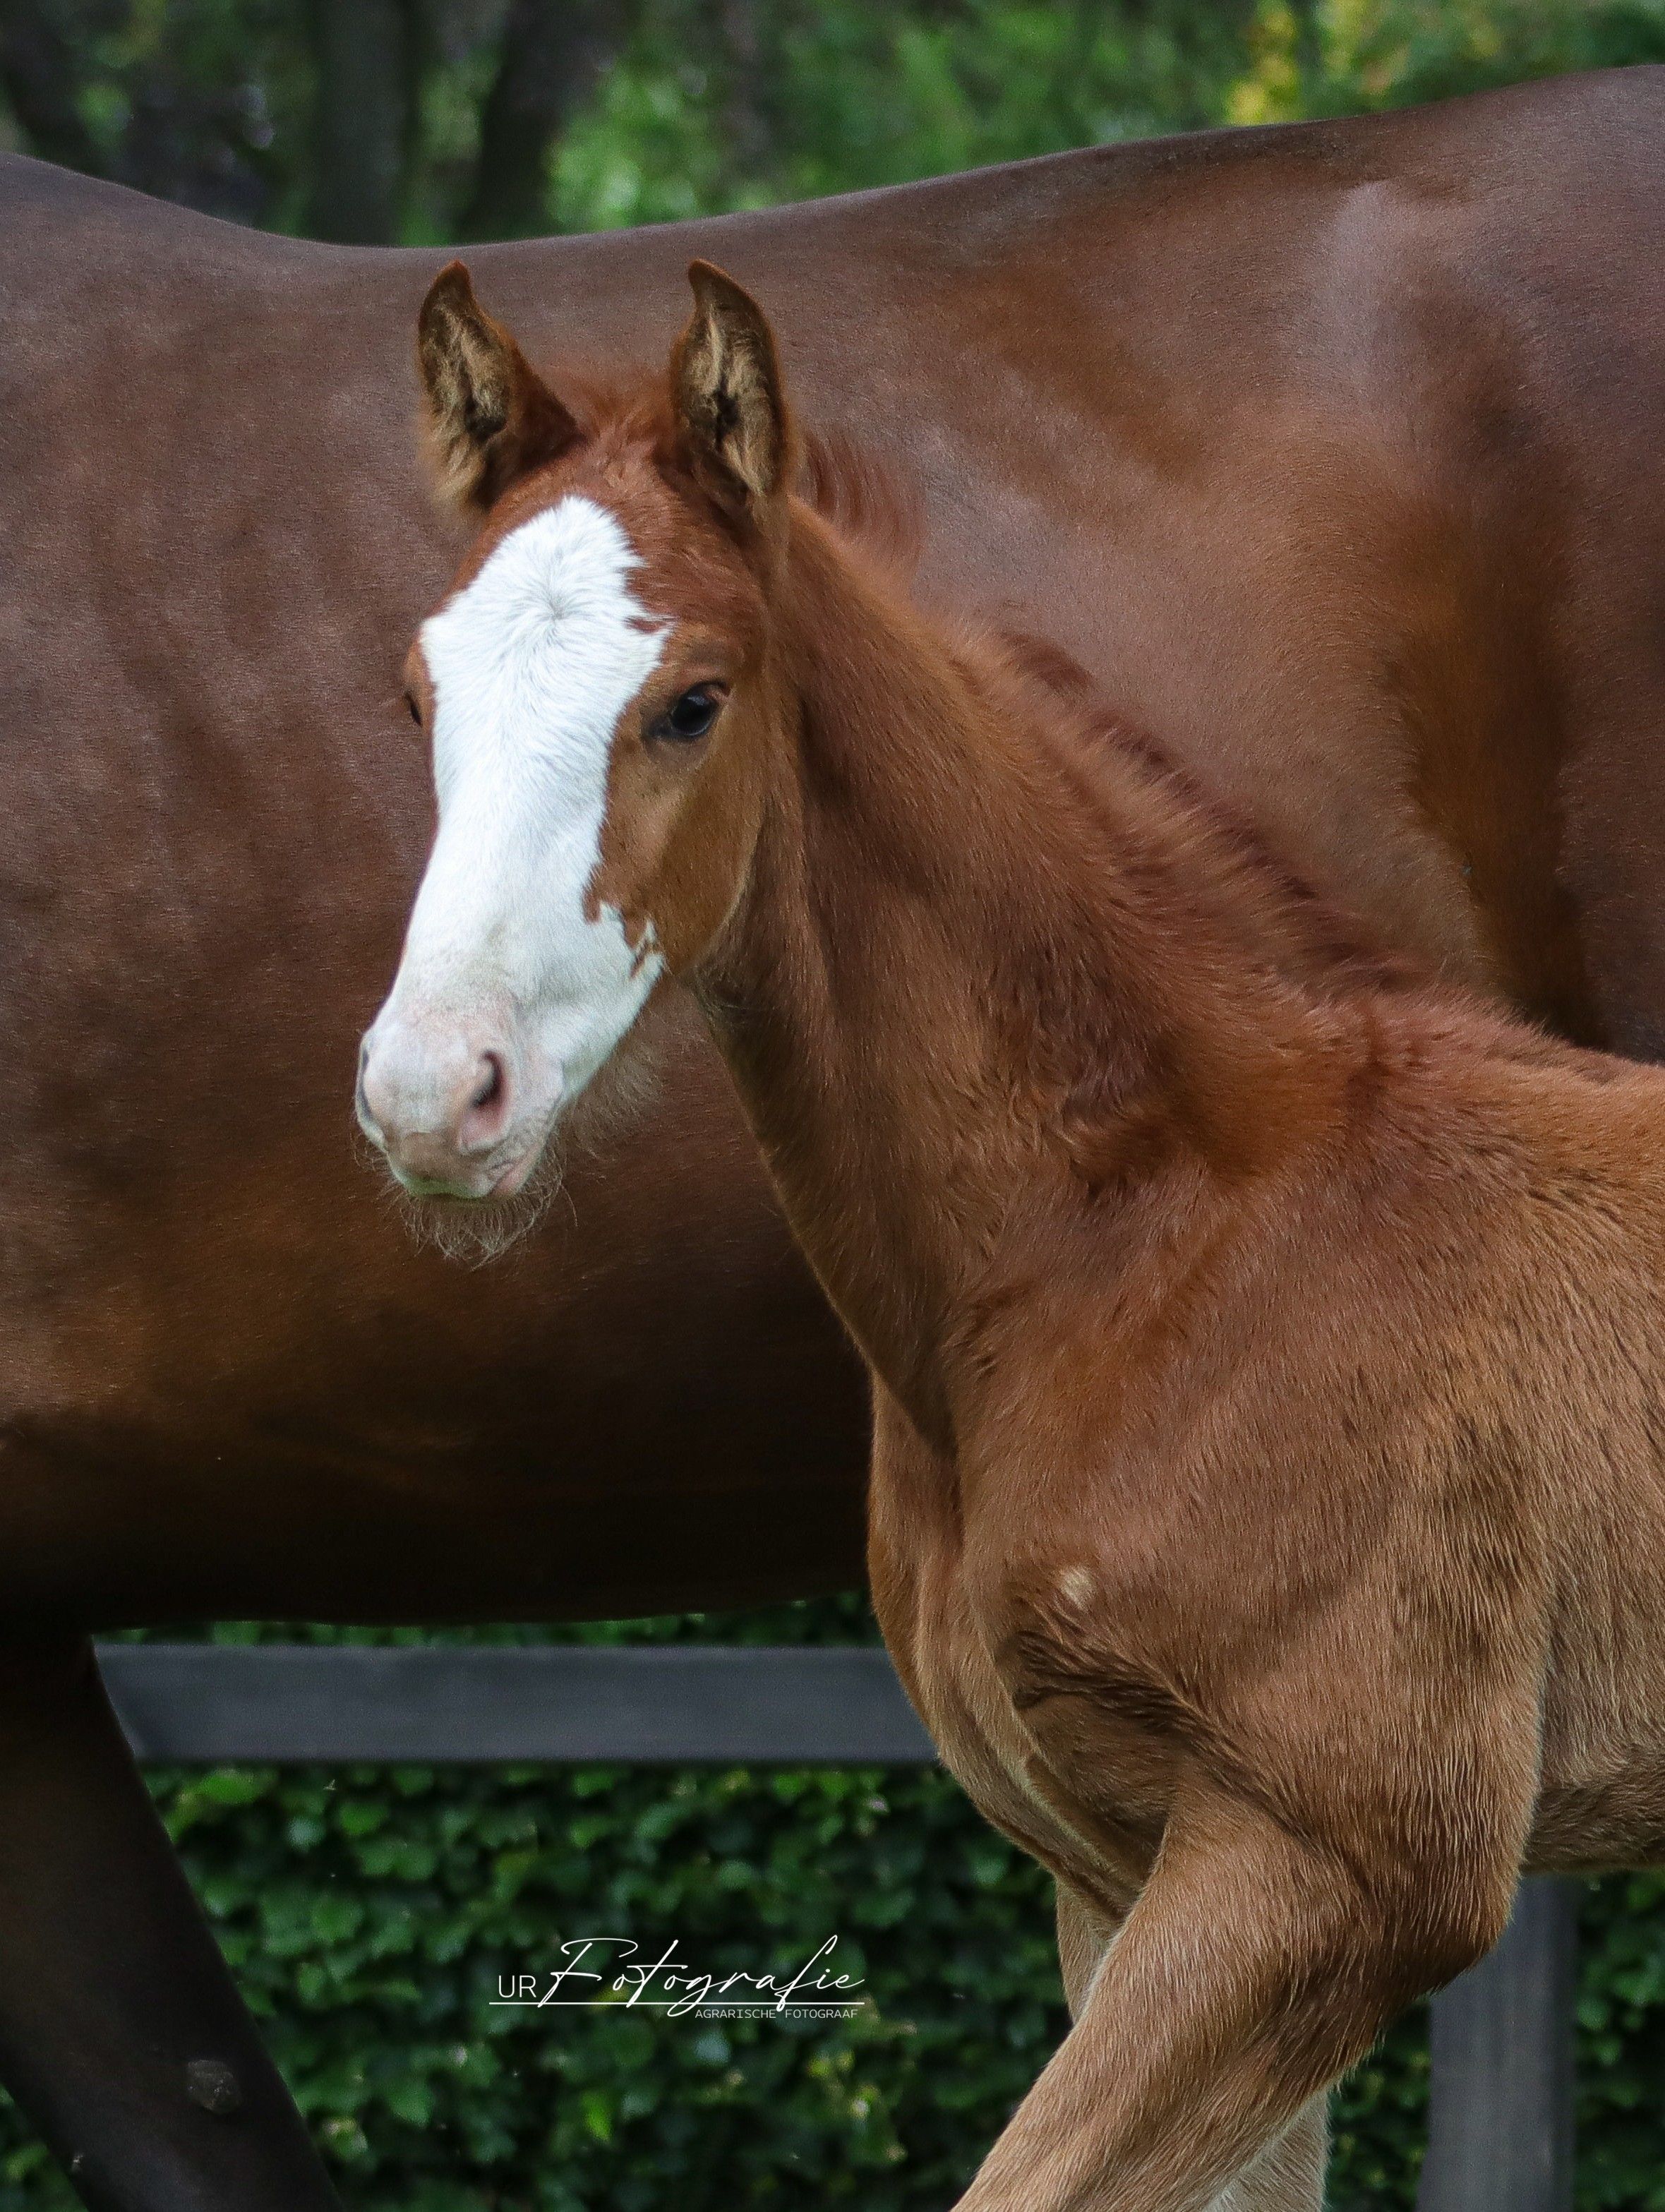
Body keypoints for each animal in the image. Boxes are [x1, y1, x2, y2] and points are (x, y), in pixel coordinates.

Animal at [3, 60, 1665, 2209]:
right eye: (415, 691)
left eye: (692, 697)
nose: (434, 1087)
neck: (1174, 1226)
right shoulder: (1121, 1865)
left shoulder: (1340, 1866)